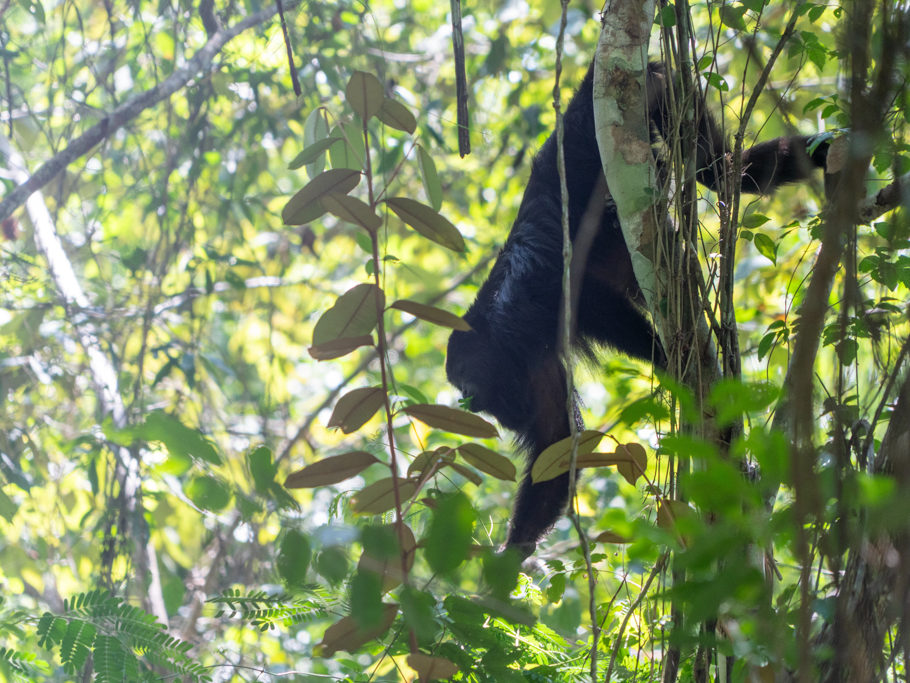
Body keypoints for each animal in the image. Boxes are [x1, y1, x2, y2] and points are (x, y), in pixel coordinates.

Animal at [446, 61, 832, 560]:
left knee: (706, 171)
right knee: (722, 170)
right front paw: (512, 555)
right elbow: (558, 437)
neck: (494, 327)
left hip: (644, 95)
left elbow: (594, 299)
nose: (467, 403)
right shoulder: (533, 362)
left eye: (466, 382)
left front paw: (670, 364)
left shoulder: (528, 306)